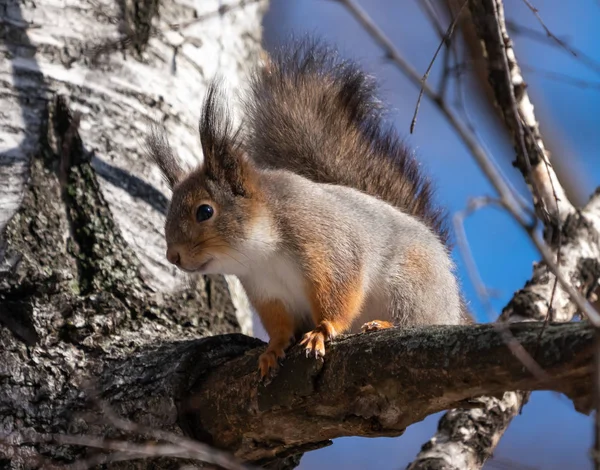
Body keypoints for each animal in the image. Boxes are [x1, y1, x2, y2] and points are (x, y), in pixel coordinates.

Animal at [148, 39, 472, 378]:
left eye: (205, 212)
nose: (173, 256)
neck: (261, 253)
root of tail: (454, 303)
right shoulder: (267, 292)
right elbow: (280, 326)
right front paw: (273, 349)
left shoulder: (331, 252)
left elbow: (340, 296)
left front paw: (322, 330)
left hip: (410, 285)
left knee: (416, 319)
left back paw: (383, 324)